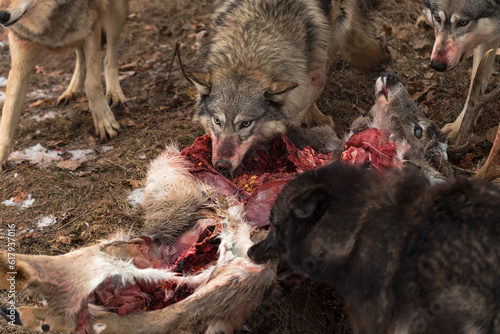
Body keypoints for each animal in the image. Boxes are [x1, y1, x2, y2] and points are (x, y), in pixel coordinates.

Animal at [0, 0, 130, 171]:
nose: (1, 16)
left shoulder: (92, 27)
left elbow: (92, 84)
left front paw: (104, 122)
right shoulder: (21, 60)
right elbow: (8, 113)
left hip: (116, 13)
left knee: (109, 57)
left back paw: (115, 95)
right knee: (80, 56)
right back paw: (71, 91)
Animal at [189, 0, 388, 176]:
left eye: (246, 123)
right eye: (217, 120)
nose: (222, 165)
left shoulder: (313, 77)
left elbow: (299, 111)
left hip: (330, 35)